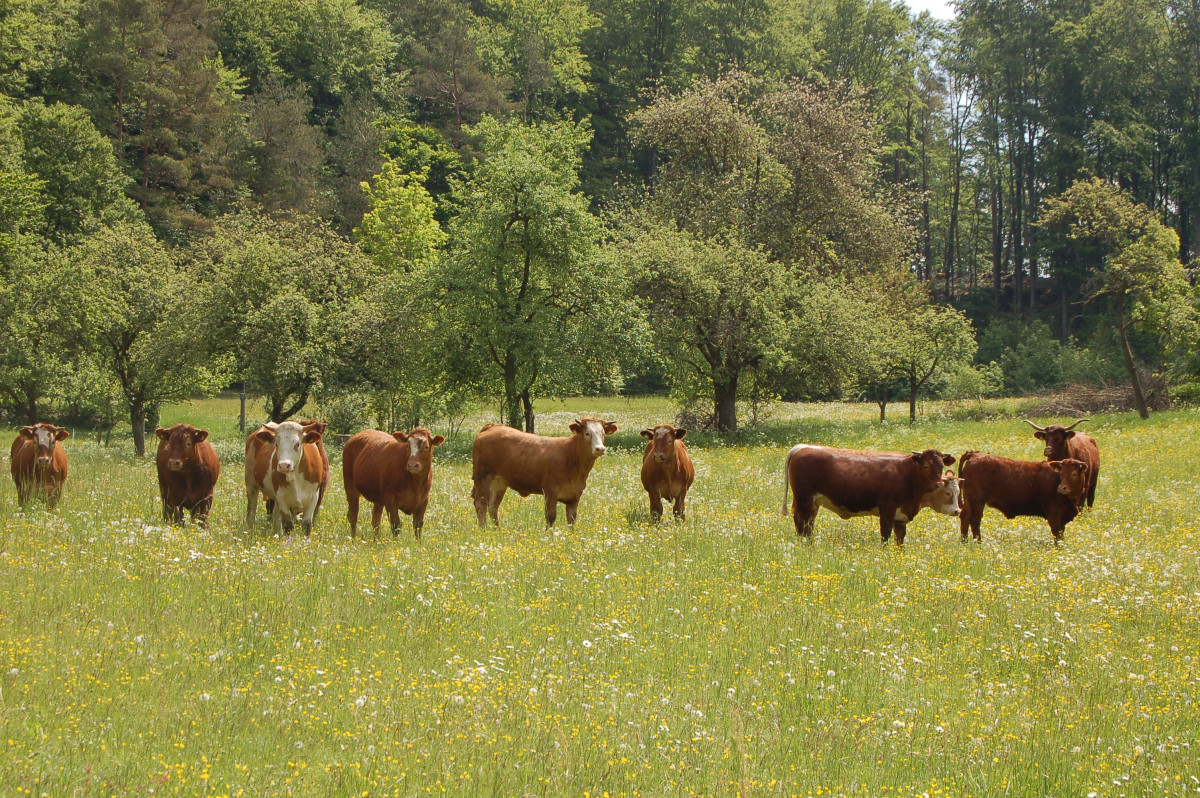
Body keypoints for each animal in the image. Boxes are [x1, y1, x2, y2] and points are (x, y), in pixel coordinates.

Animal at [470, 417, 619, 528]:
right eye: (587, 433)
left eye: (603, 434)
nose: (600, 449)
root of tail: (492, 427)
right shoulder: (550, 492)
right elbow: (550, 517)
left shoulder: (575, 496)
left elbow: (571, 520)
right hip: (482, 478)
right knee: (481, 505)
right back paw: (483, 530)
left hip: (499, 482)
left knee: (493, 507)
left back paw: (498, 531)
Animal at [777, 444, 955, 544]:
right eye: (926, 466)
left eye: (941, 466)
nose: (939, 484)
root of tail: (804, 448)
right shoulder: (887, 508)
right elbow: (885, 534)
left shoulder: (901, 515)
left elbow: (900, 538)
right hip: (804, 499)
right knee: (801, 521)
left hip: (814, 502)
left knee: (809, 524)